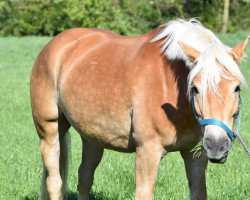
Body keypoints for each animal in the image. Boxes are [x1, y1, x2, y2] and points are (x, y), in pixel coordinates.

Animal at [30, 19, 249, 200]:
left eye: (236, 87)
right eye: (194, 88)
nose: (217, 145)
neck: (169, 86)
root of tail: (55, 44)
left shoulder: (195, 155)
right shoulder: (147, 151)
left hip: (92, 137)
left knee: (84, 179)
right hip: (49, 130)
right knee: (54, 182)